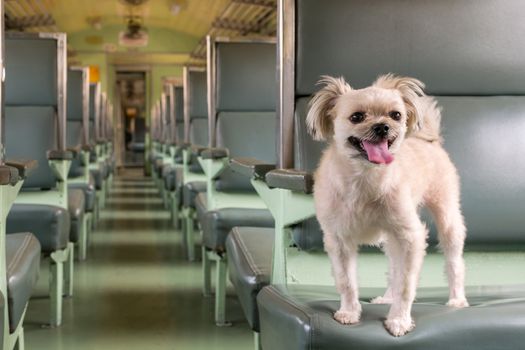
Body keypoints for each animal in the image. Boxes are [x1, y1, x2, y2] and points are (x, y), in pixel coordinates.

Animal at [308, 74, 466, 336]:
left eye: (396, 115)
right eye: (357, 117)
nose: (382, 126)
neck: (366, 177)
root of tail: (429, 140)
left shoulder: (411, 237)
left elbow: (406, 284)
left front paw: (399, 320)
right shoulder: (338, 240)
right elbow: (346, 281)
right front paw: (349, 312)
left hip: (446, 219)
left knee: (453, 263)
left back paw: (457, 299)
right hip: (392, 239)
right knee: (393, 268)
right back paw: (387, 298)